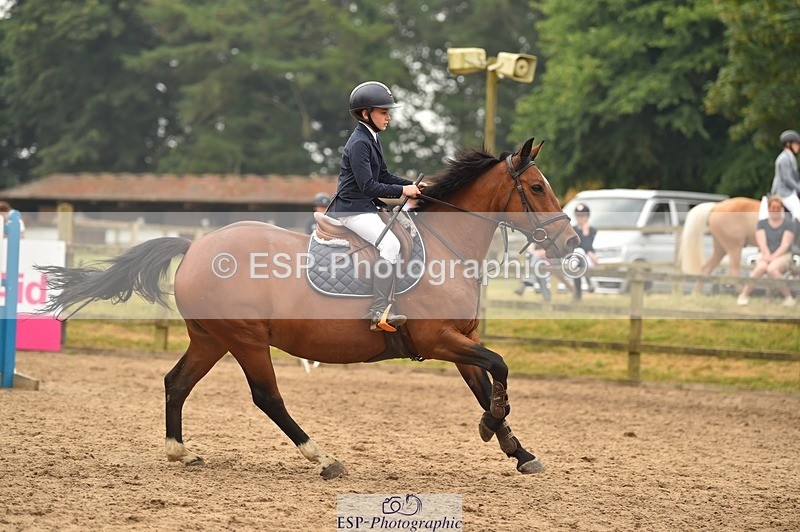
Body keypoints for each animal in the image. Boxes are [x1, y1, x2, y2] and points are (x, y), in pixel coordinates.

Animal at [38, 137, 579, 478]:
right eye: (536, 188)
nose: (571, 243)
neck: (448, 247)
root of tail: (195, 247)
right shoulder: (440, 339)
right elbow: (499, 367)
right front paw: (494, 429)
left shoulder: (460, 340)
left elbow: (485, 382)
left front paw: (515, 448)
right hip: (246, 339)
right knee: (267, 398)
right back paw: (322, 458)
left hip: (212, 338)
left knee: (177, 382)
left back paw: (180, 453)